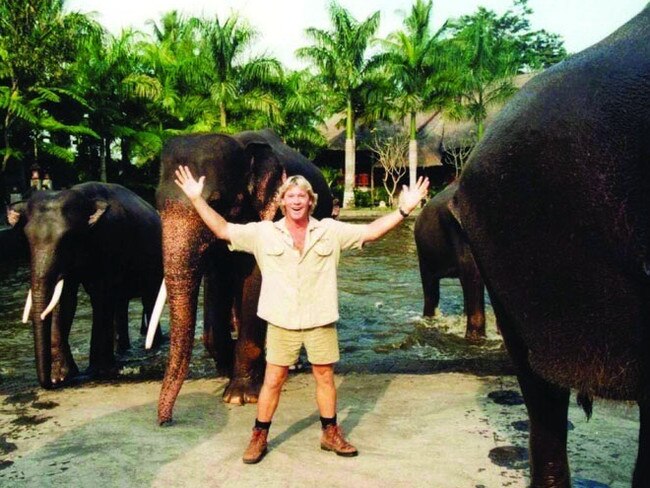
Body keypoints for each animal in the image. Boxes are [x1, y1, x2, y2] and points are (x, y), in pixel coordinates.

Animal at [7, 181, 165, 386]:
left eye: (68, 238)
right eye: (26, 239)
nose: (47, 383)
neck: (83, 195)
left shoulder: (111, 240)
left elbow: (100, 295)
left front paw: (96, 371)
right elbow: (64, 300)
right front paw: (62, 377)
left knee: (149, 300)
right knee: (121, 305)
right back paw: (123, 351)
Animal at [154, 127, 332, 426]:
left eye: (214, 202)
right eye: (156, 205)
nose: (164, 421)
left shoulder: (264, 217)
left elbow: (254, 282)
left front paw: (240, 396)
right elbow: (218, 281)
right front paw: (227, 372)